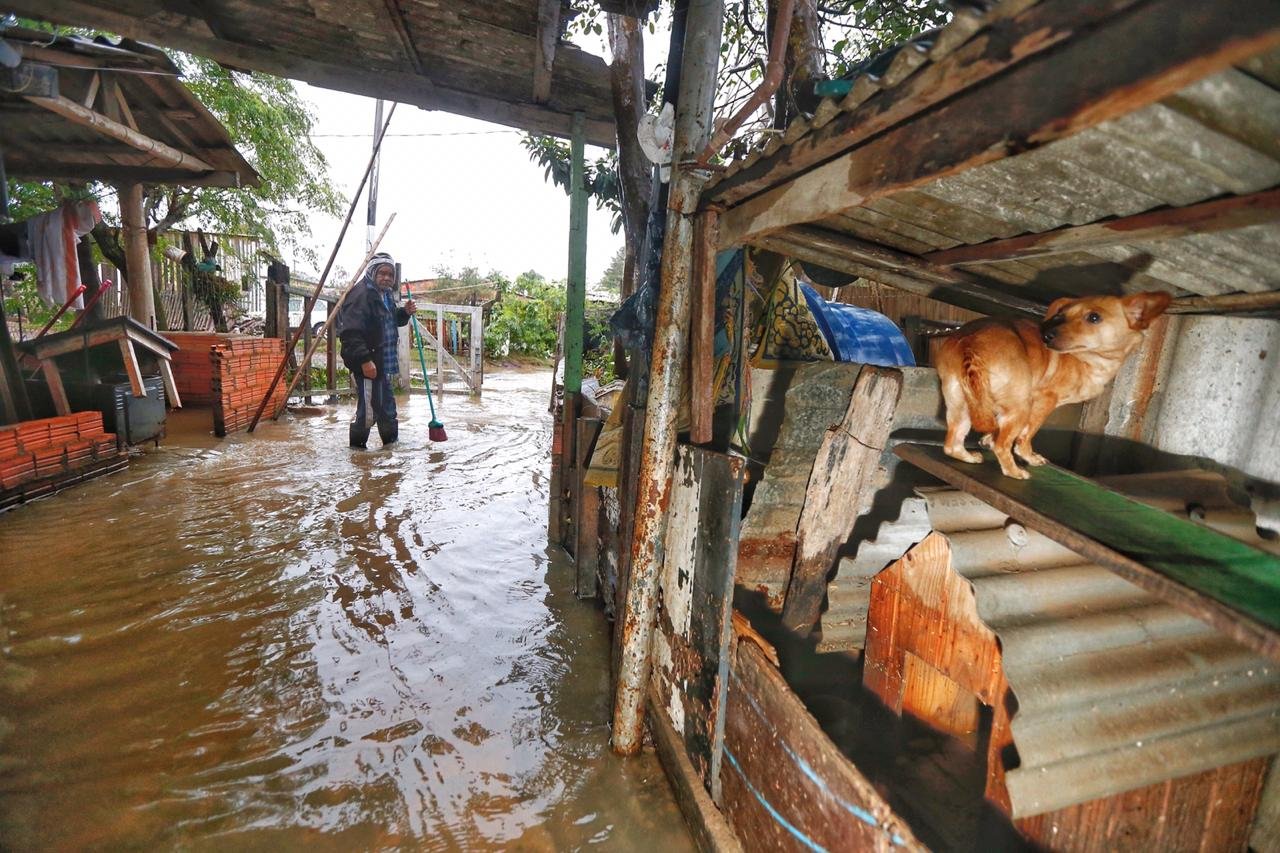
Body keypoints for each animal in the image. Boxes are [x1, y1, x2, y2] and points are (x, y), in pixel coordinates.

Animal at [931, 290, 1172, 479]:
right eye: (1060, 316)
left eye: (1094, 317)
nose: (1046, 336)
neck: (1087, 359)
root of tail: (969, 341)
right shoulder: (1044, 400)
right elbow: (1025, 435)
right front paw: (1028, 456)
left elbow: (997, 431)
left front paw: (988, 440)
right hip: (1020, 405)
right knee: (1002, 445)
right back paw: (1014, 471)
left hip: (960, 404)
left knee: (951, 444)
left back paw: (969, 457)